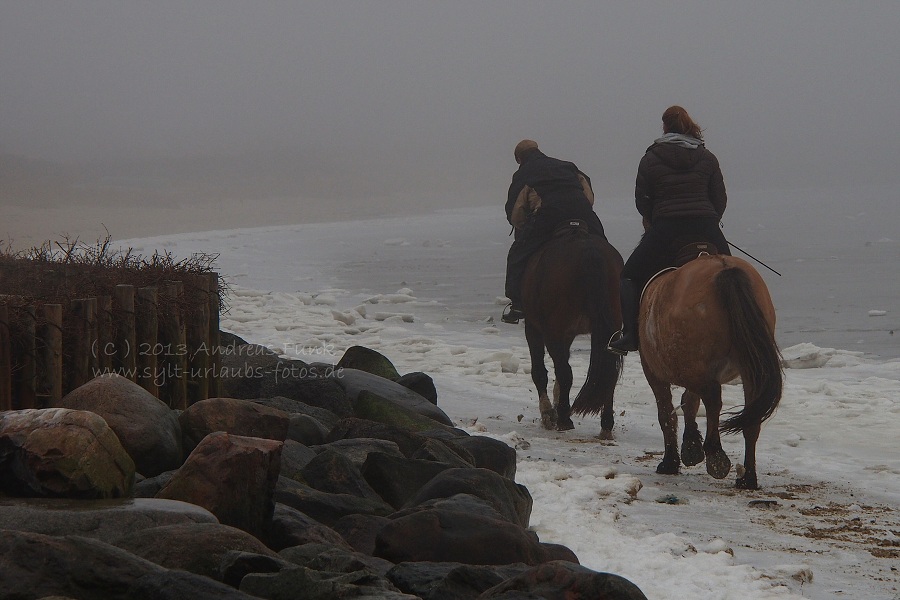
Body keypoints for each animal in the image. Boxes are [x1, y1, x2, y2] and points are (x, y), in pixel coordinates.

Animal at [520, 223, 624, 434]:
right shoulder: (566, 335)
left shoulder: (534, 328)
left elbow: (540, 371)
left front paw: (548, 413)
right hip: (610, 329)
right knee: (609, 375)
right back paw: (606, 423)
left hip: (553, 331)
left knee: (565, 372)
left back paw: (563, 417)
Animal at [640, 251, 780, 490]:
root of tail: (723, 267)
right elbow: (689, 402)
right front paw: (691, 446)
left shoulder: (654, 372)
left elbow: (667, 413)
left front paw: (671, 461)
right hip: (748, 370)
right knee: (750, 415)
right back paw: (747, 477)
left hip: (693, 368)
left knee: (712, 397)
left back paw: (715, 454)